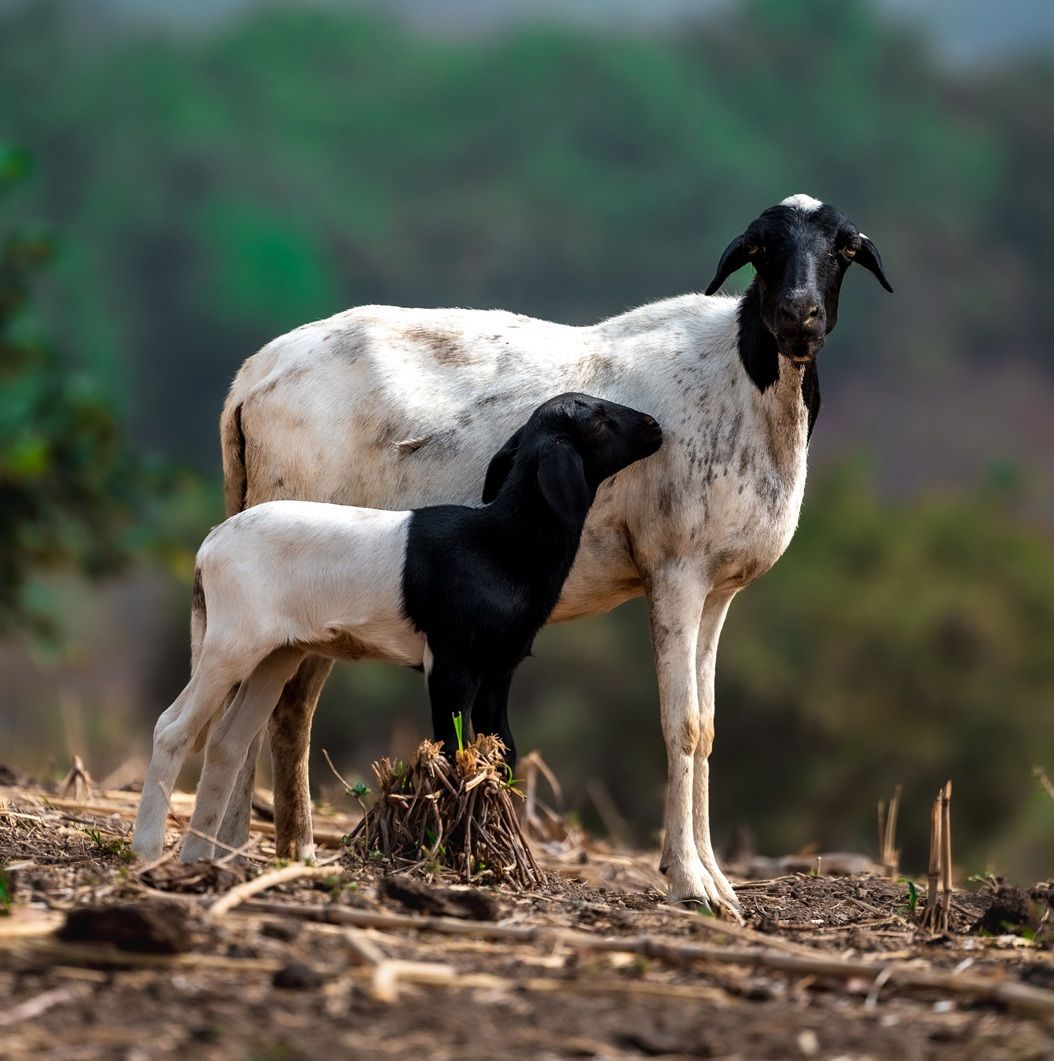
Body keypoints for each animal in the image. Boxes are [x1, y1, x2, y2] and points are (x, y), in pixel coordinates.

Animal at [131, 393, 663, 863]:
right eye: (598, 420)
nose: (655, 426)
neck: (500, 543)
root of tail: (209, 546)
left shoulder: (499, 668)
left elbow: (503, 751)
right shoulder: (450, 664)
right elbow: (452, 748)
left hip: (275, 654)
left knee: (227, 743)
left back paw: (199, 857)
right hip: (230, 644)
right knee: (174, 729)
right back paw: (148, 851)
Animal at [212, 194, 892, 915]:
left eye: (843, 249)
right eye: (761, 250)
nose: (799, 315)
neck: (745, 383)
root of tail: (249, 383)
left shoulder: (718, 590)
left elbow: (707, 727)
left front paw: (717, 880)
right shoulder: (675, 570)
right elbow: (679, 723)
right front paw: (689, 881)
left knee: (275, 707)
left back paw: (261, 850)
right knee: (276, 708)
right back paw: (259, 849)